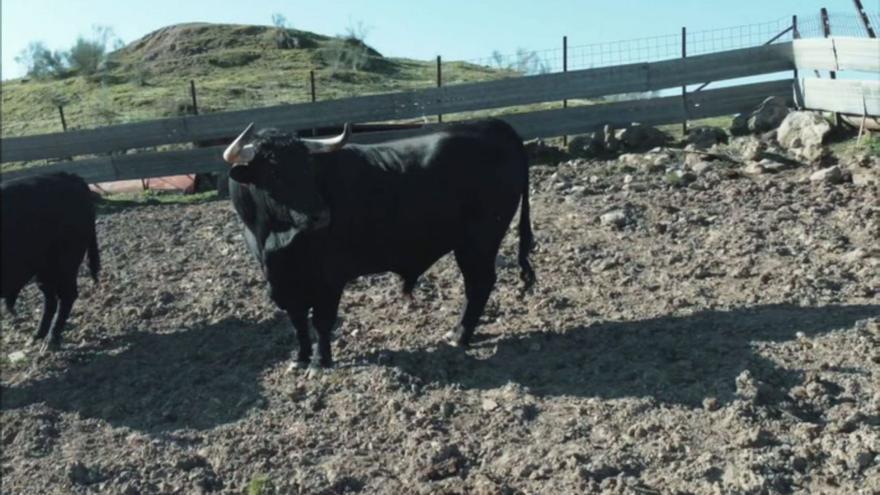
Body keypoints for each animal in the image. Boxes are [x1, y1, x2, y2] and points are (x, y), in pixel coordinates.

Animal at [0, 174, 100, 352]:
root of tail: (68, 177)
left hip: (66, 262)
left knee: (67, 296)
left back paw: (50, 340)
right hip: (45, 270)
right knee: (51, 300)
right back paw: (36, 336)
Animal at [227, 118, 536, 368]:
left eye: (309, 169)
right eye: (274, 172)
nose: (321, 215)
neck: (273, 240)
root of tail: (495, 125)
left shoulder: (329, 277)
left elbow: (322, 322)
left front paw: (319, 361)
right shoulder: (284, 283)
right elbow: (298, 322)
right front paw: (300, 358)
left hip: (479, 242)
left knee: (479, 284)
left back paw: (459, 334)